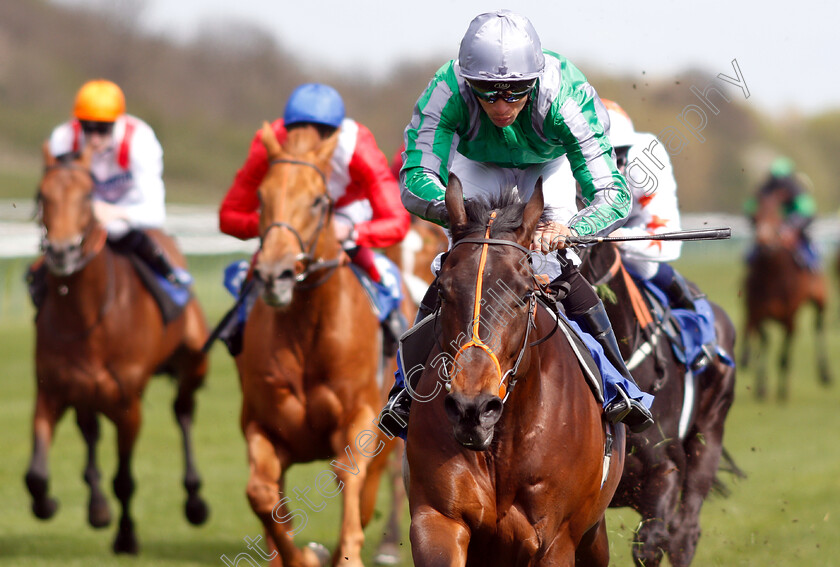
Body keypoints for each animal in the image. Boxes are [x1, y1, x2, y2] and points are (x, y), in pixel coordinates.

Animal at [26, 146, 212, 556]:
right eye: (42, 195)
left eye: (86, 196)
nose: (61, 252)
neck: (86, 316)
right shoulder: (52, 390)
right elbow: (36, 474)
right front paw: (49, 504)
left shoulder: (128, 404)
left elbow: (124, 478)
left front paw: (126, 537)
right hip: (85, 393)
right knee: (91, 432)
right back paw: (96, 506)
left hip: (194, 363)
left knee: (184, 414)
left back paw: (194, 501)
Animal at [235, 124, 396, 567]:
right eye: (261, 197)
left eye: (318, 200)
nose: (275, 275)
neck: (307, 329)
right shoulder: (263, 424)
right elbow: (261, 493)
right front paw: (303, 555)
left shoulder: (360, 415)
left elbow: (349, 476)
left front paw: (344, 555)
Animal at [404, 178, 628, 567]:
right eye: (442, 292)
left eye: (524, 295)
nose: (473, 409)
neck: (503, 442)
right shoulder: (437, 518)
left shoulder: (556, 541)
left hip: (591, 534)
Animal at [744, 190, 832, 400]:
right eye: (754, 217)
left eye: (776, 217)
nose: (764, 243)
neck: (773, 277)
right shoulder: (757, 313)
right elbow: (764, 343)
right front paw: (761, 387)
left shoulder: (790, 318)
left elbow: (783, 356)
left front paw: (783, 392)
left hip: (820, 299)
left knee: (819, 327)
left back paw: (825, 373)